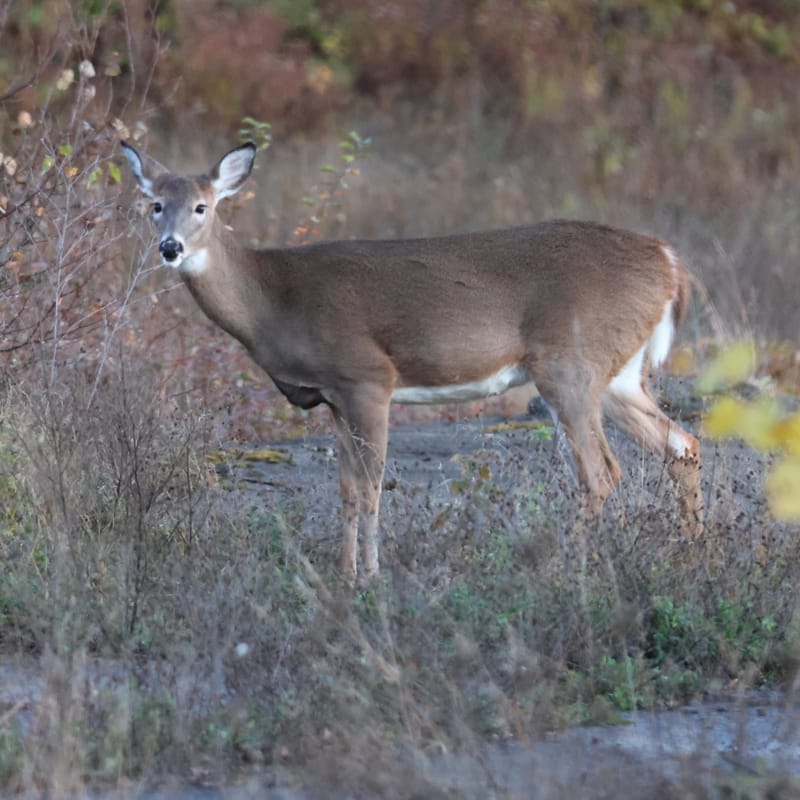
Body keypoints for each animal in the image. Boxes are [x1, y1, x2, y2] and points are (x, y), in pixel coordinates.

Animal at [121, 140, 703, 583]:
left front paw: (372, 576)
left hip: (569, 366)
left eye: (203, 206)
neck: (274, 300)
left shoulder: (368, 377)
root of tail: (670, 262)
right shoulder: (335, 396)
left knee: (601, 472)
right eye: (155, 204)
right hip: (619, 375)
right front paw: (344, 573)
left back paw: (562, 567)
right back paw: (694, 557)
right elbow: (346, 488)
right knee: (682, 445)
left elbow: (371, 485)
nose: (170, 248)